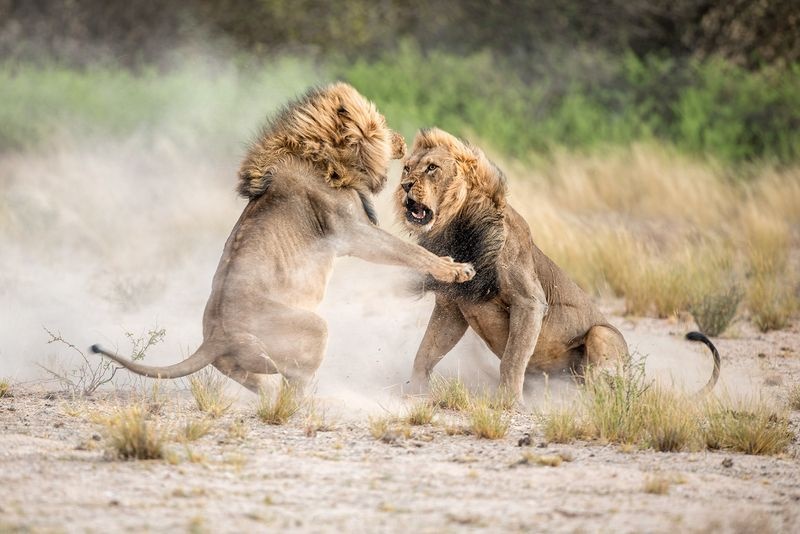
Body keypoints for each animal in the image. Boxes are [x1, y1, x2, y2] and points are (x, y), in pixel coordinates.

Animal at [89, 82, 476, 394]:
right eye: (380, 125)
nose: (401, 141)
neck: (324, 155)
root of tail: (212, 340)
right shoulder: (355, 233)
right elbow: (410, 251)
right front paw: (457, 270)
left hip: (240, 362)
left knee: (259, 382)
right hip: (313, 326)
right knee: (294, 384)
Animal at [396, 129, 720, 406]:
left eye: (432, 168)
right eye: (407, 168)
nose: (404, 186)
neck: (457, 228)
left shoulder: (529, 301)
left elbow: (512, 359)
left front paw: (508, 402)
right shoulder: (452, 306)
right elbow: (426, 351)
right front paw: (414, 392)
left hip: (602, 334)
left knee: (605, 382)